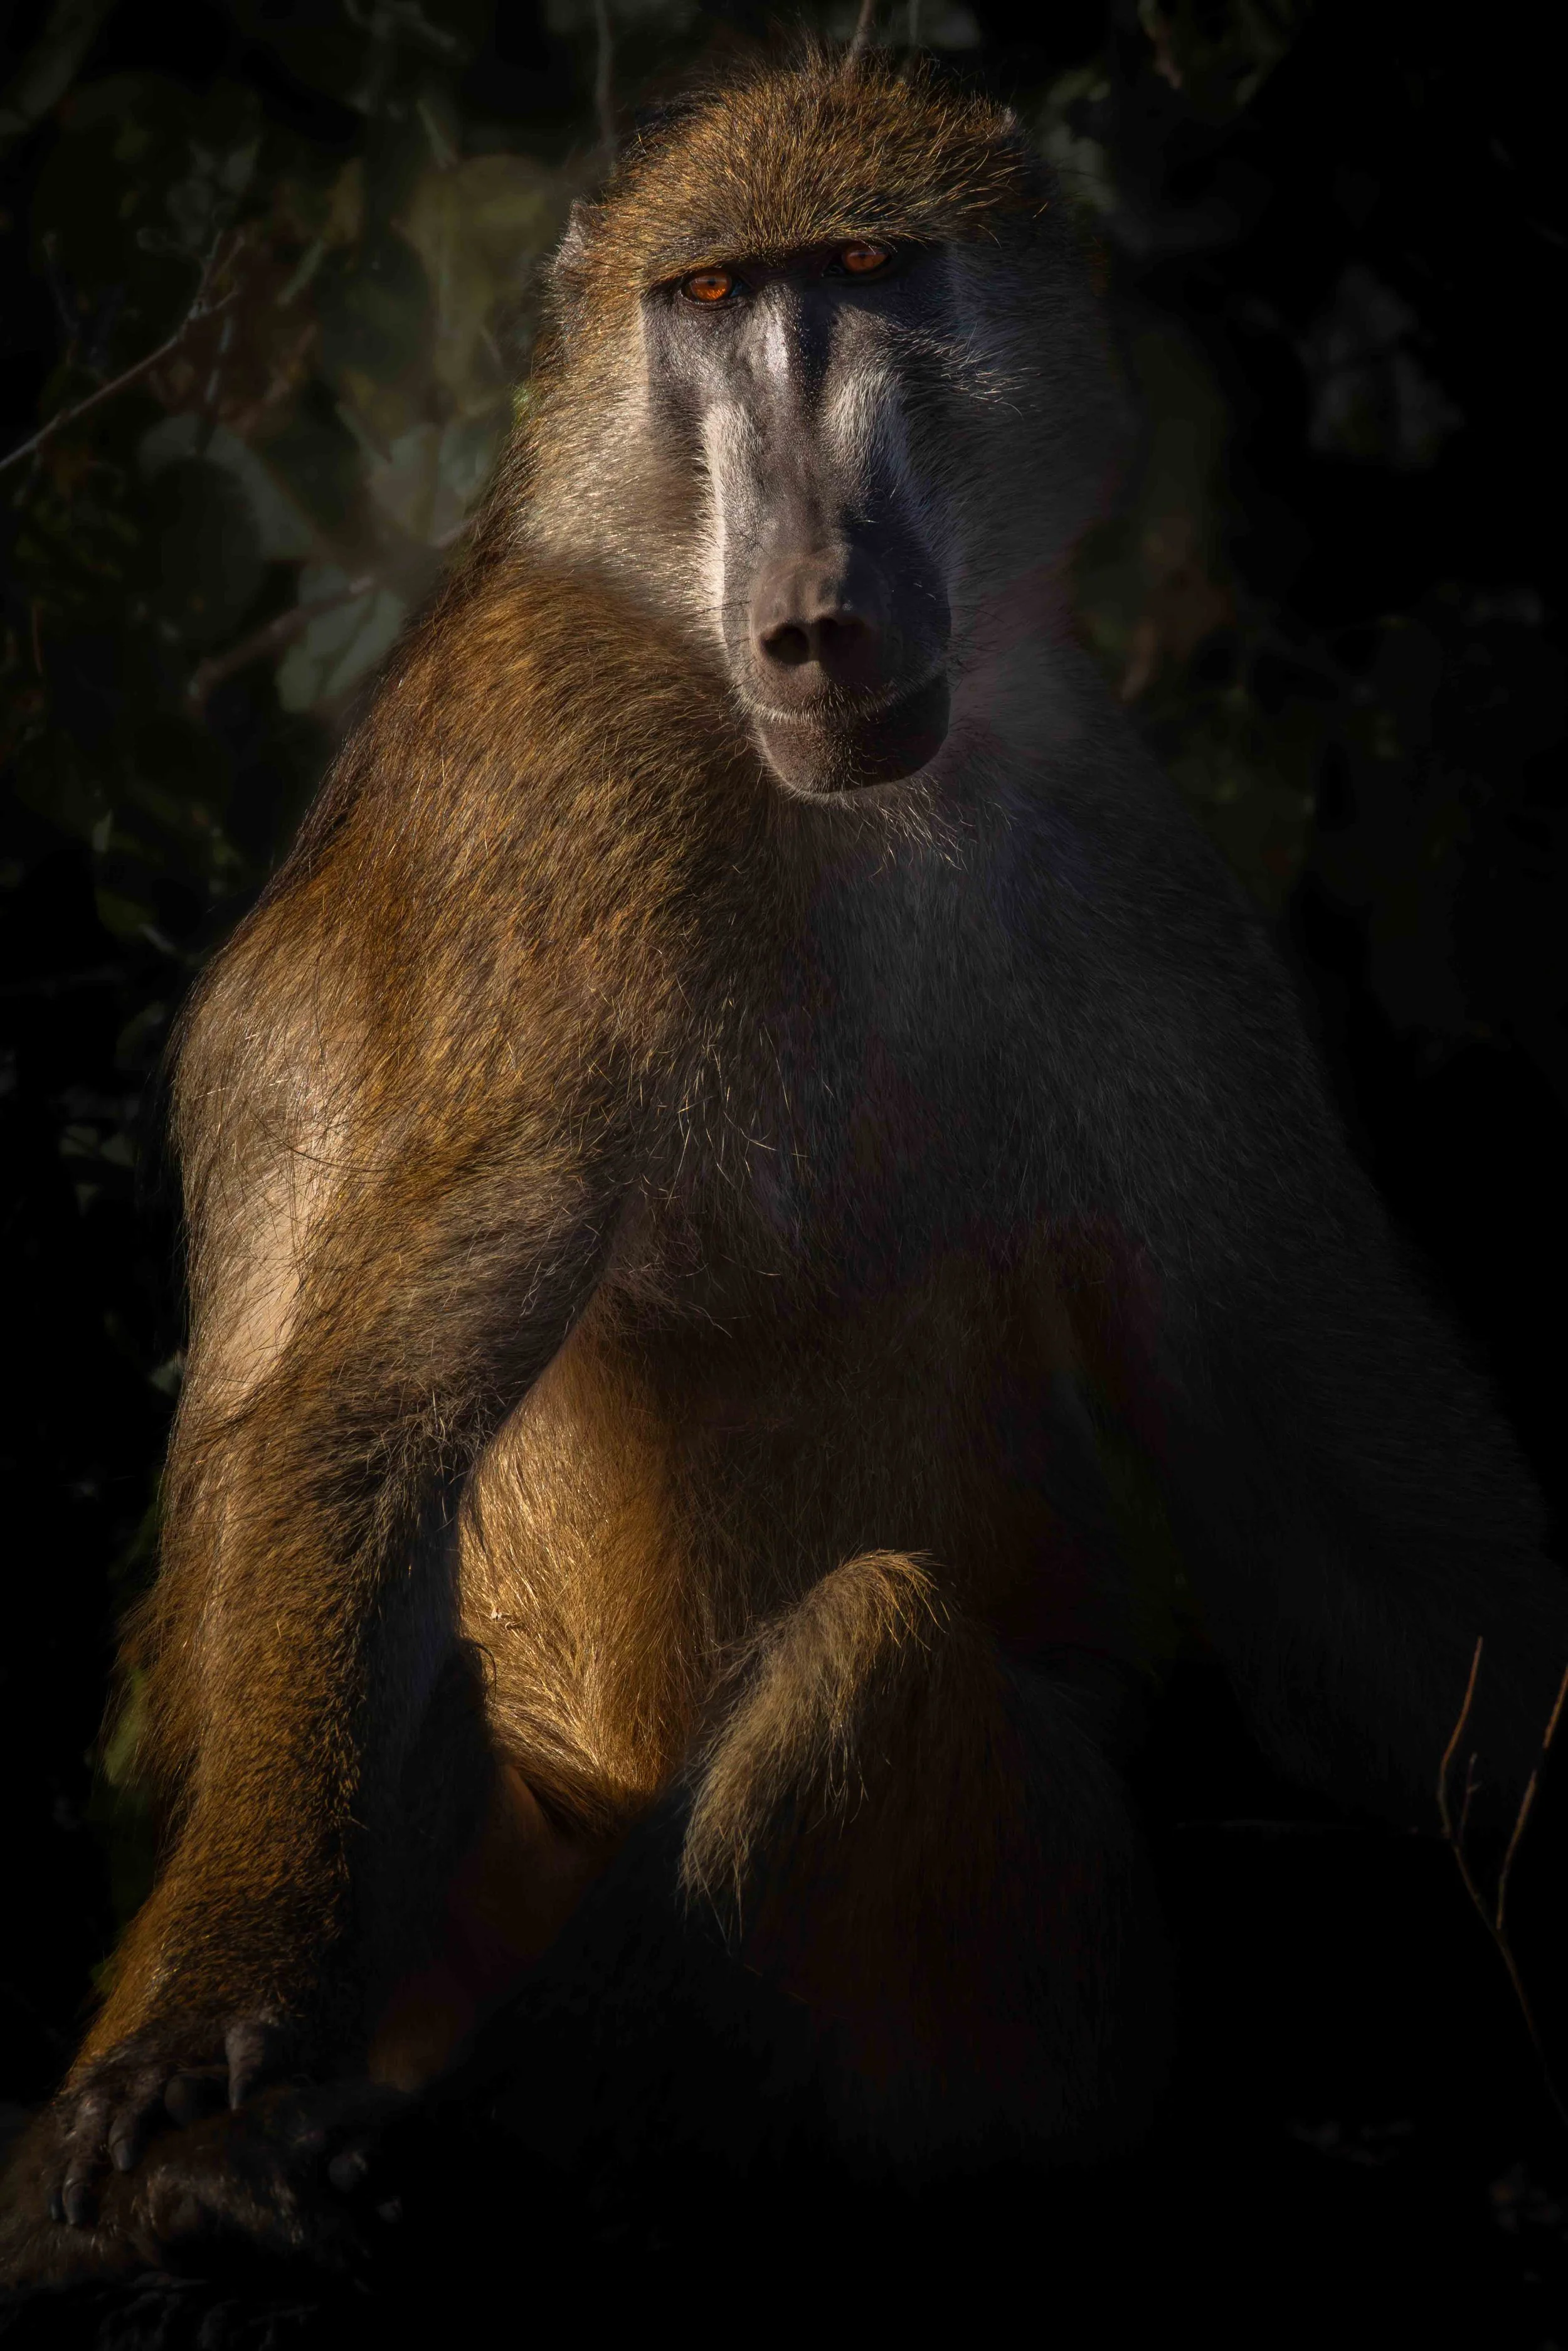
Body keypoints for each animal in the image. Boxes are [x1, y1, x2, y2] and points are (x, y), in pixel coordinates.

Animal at [4, 47, 1565, 2287]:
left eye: (862, 275)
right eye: (716, 299)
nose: (817, 618)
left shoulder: (1119, 849)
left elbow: (1364, 1568)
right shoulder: (572, 802)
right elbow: (360, 1425)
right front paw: (207, 2037)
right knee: (870, 1670)